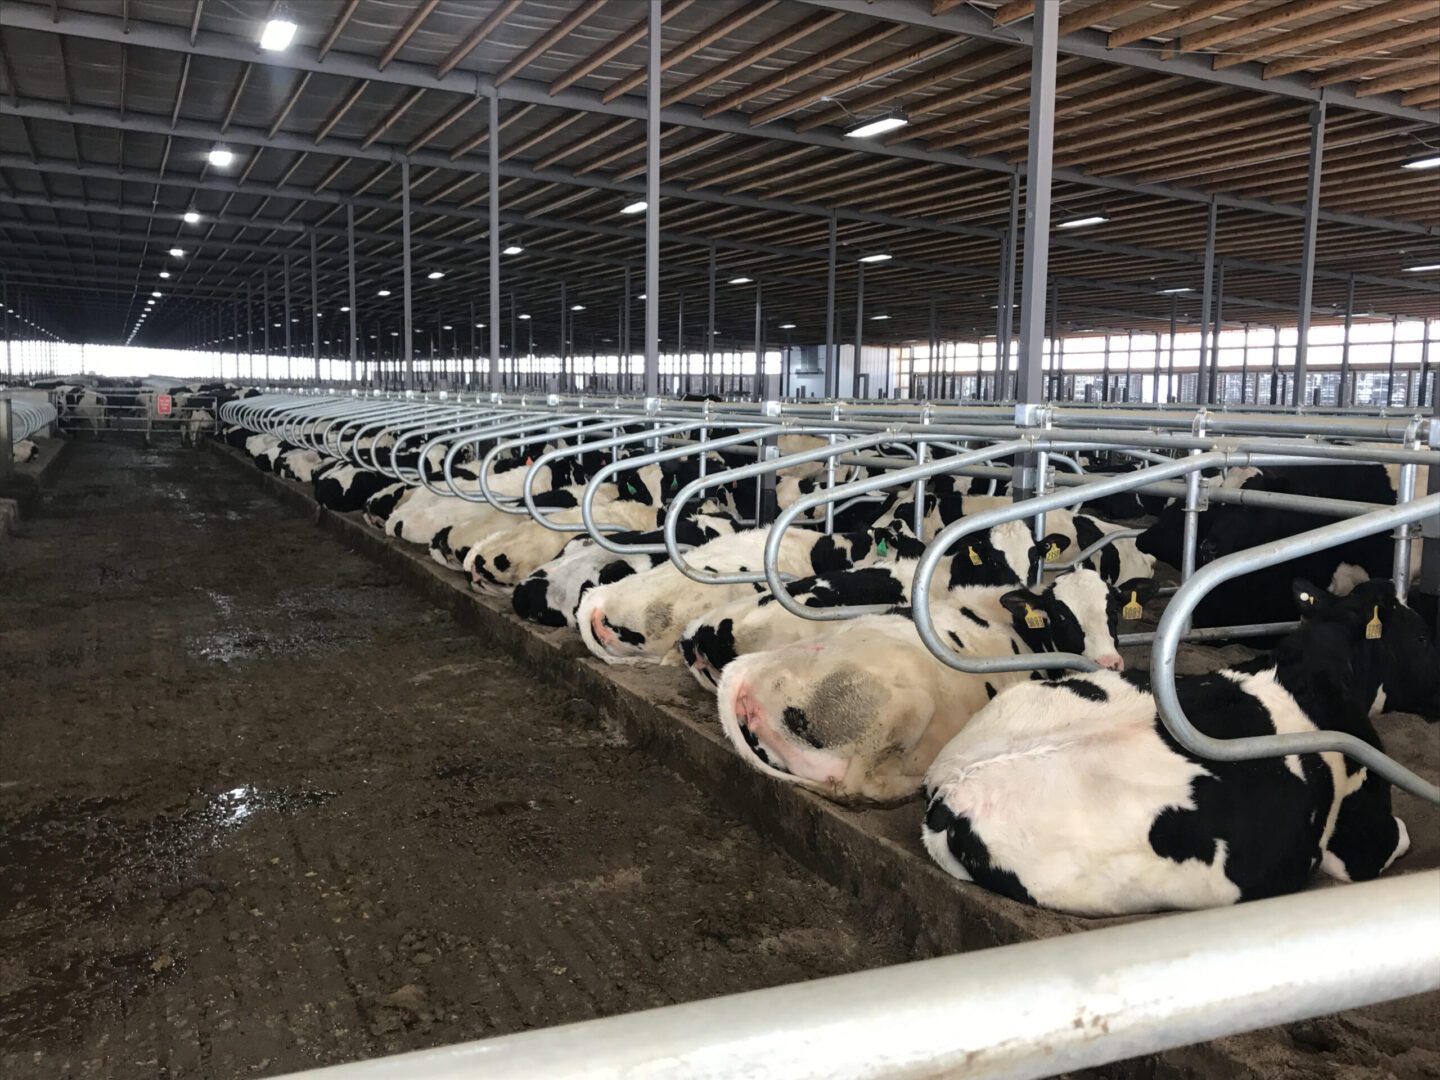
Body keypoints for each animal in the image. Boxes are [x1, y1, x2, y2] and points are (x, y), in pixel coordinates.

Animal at [711, 567, 1146, 806]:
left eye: (1112, 610)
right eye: (1061, 614)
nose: (1109, 664)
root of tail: (752, 666)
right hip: (907, 707)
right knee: (859, 785)